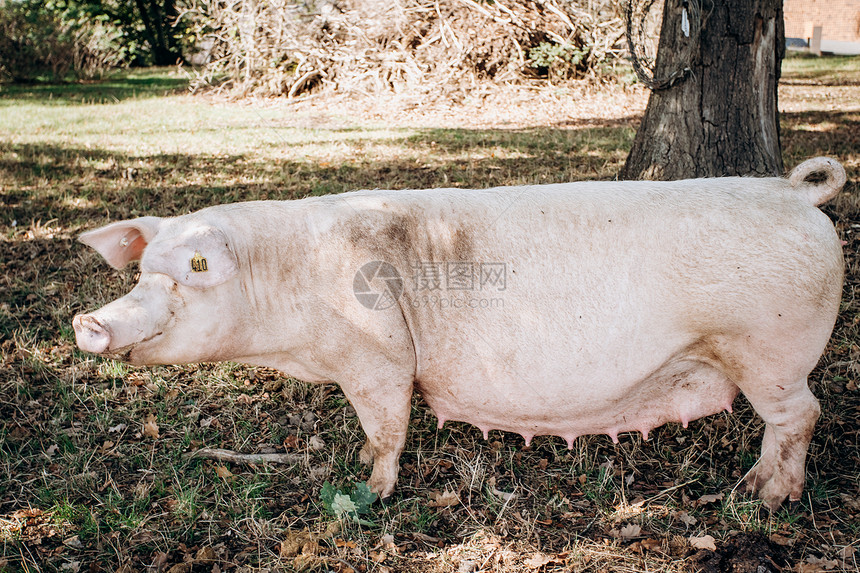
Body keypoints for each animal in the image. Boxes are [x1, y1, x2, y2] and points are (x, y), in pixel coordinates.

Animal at [74, 155, 848, 504]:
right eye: (142, 273)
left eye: (191, 272)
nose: (89, 322)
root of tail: (794, 192)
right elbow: (370, 430)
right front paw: (358, 462)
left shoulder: (379, 355)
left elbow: (389, 423)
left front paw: (375, 490)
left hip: (767, 350)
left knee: (801, 416)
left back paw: (765, 496)